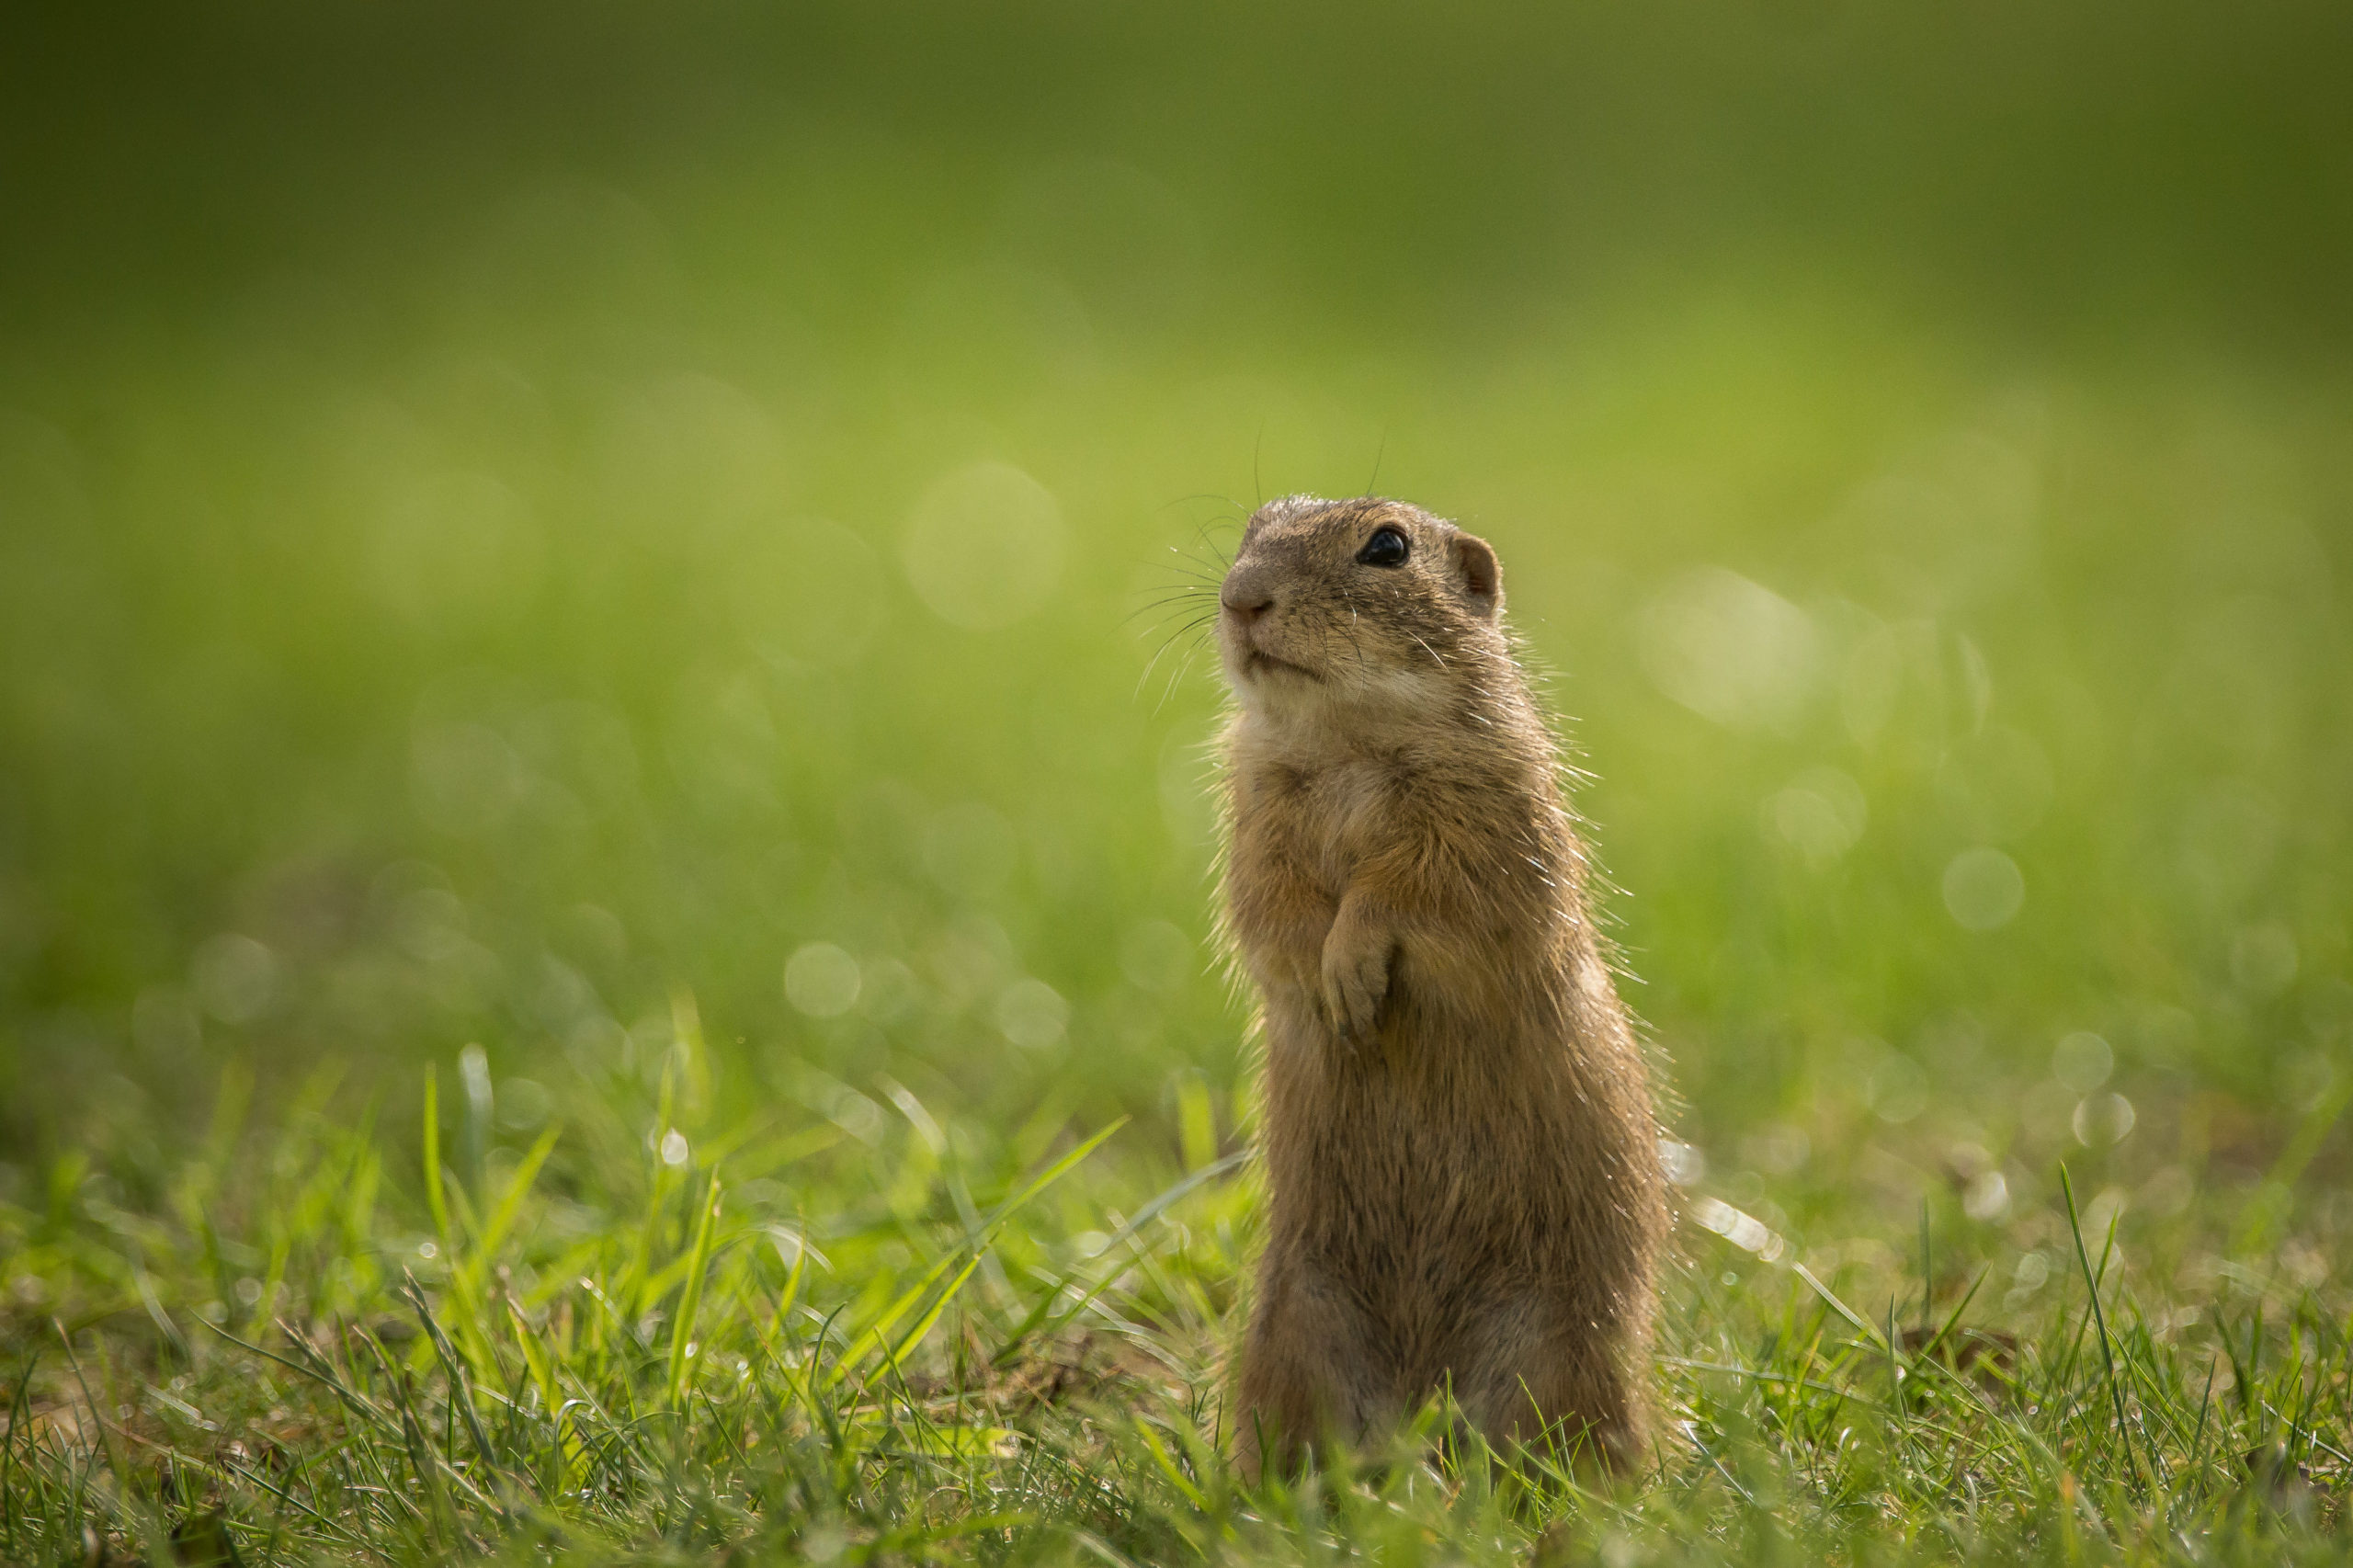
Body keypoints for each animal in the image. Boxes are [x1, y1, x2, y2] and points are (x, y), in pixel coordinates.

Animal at [1213, 494, 1675, 1469]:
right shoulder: (1256, 815)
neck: (1347, 741)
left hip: (1562, 1348)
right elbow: (1274, 905)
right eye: (1253, 526)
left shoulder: (1483, 814)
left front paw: (1351, 969)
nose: (1241, 599)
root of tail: (1422, 1402)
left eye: (1387, 547)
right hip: (1292, 1331)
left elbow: (1412, 889)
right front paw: (1328, 991)